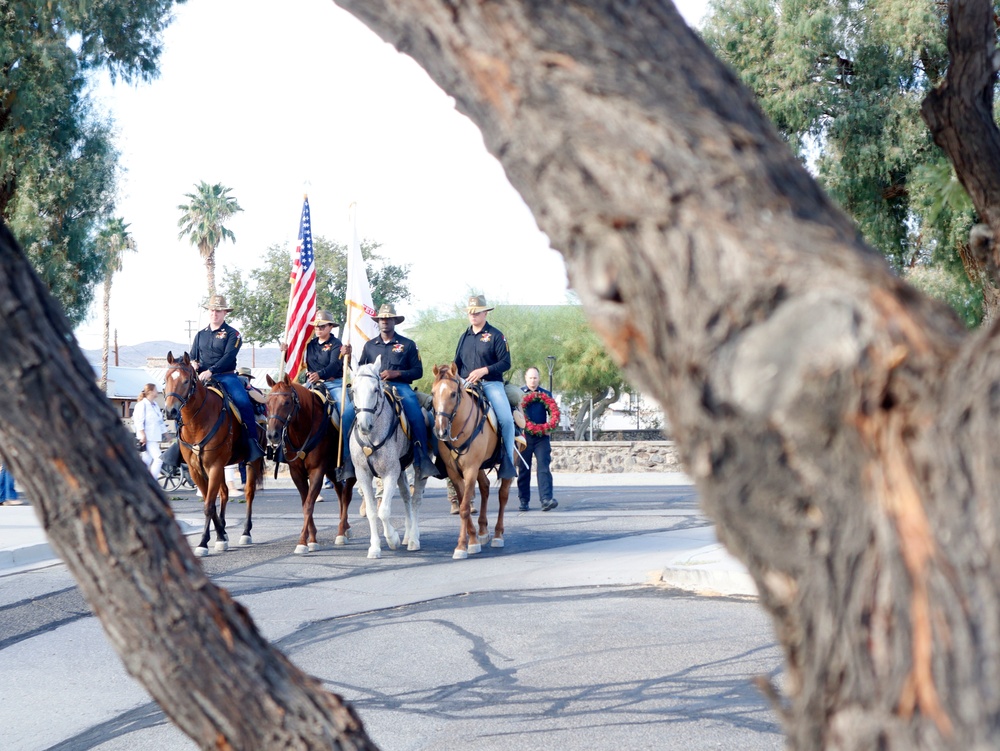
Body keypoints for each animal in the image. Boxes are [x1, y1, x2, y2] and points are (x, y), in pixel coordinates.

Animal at [162, 350, 262, 556]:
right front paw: (220, 536)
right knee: (224, 493)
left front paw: (203, 543)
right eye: (166, 379)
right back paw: (223, 529)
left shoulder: (214, 466)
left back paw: (246, 532)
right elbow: (211, 502)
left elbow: (209, 505)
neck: (197, 421)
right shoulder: (196, 469)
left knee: (249, 493)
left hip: (251, 462)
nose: (170, 411)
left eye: (186, 380)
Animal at [266, 374, 356, 556]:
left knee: (347, 494)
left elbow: (309, 504)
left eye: (287, 402)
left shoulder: (317, 471)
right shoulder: (297, 473)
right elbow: (305, 502)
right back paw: (344, 529)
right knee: (340, 491)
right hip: (331, 470)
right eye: (267, 403)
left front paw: (302, 542)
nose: (272, 435)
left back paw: (342, 531)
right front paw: (313, 539)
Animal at [350, 356, 428, 560]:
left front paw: (392, 539)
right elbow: (372, 512)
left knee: (416, 500)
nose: (364, 425)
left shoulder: (390, 473)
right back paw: (408, 536)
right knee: (407, 497)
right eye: (353, 390)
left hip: (417, 469)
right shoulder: (363, 475)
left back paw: (414, 540)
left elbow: (383, 511)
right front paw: (375, 548)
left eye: (375, 390)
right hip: (402, 471)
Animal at [430, 362, 512, 560]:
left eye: (453, 394)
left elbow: (465, 507)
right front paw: (473, 539)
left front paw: (462, 546)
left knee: (503, 495)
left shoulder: (470, 469)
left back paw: (498, 535)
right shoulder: (454, 472)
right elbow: (462, 505)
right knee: (485, 487)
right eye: (433, 393)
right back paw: (483, 531)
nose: (441, 431)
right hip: (480, 467)